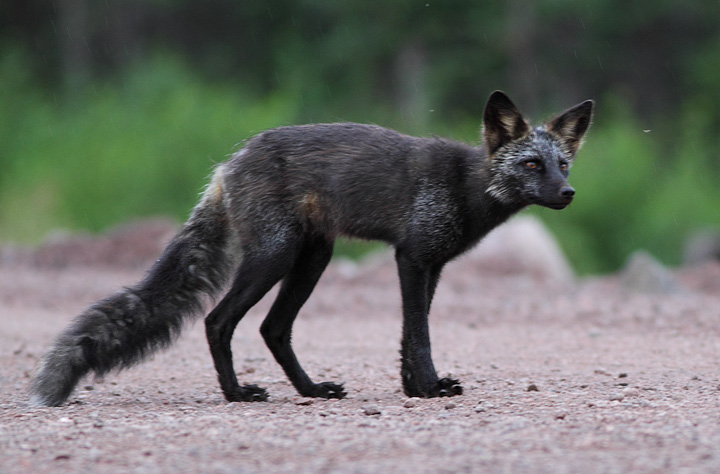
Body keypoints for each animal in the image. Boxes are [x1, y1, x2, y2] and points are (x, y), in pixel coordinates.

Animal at [29, 91, 594, 406]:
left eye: (562, 164)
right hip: (274, 258)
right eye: (531, 165)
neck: (466, 187)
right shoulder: (412, 257)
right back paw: (236, 394)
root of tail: (229, 164)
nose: (568, 194)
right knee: (219, 321)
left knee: (272, 329)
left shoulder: (431, 264)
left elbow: (409, 334)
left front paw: (415, 389)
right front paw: (430, 388)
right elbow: (419, 334)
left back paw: (310, 391)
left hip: (313, 260)